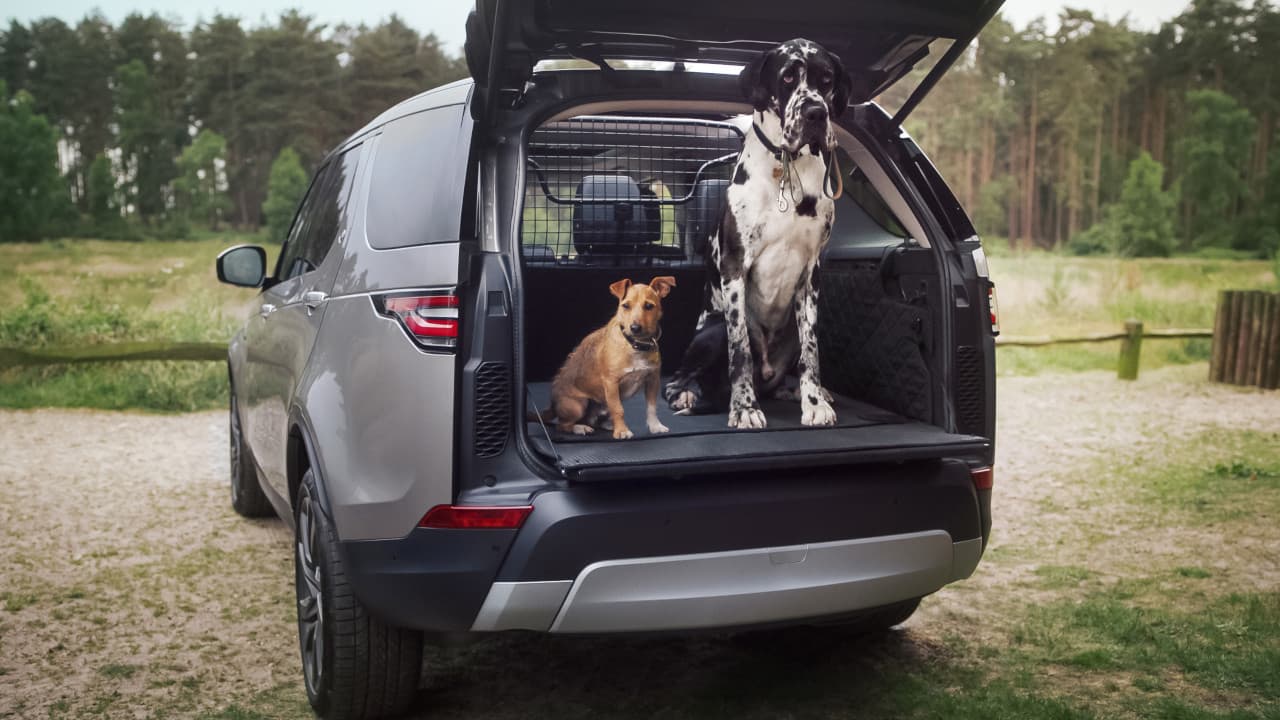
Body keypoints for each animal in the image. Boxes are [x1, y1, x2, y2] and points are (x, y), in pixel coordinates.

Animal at [529, 275, 675, 438]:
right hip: (579, 405)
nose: (635, 328)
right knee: (563, 425)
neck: (634, 344)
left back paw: (606, 425)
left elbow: (651, 407)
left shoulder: (652, 380)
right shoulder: (611, 383)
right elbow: (618, 409)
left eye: (649, 306)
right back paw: (580, 428)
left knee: (594, 420)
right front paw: (622, 431)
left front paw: (655, 426)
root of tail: (553, 405)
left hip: (603, 404)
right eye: (625, 306)